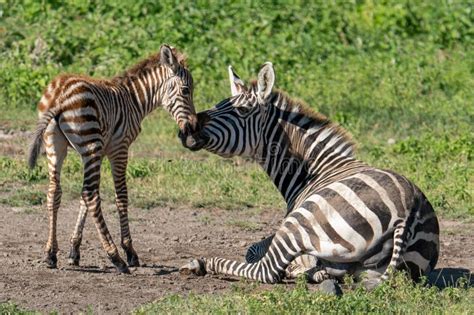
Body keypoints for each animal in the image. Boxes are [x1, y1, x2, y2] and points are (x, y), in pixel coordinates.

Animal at [26, 44, 197, 274]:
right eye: (186, 91)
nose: (193, 130)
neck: (133, 99)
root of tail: (60, 93)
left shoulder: (99, 152)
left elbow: (82, 200)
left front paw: (74, 250)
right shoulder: (119, 148)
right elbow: (120, 196)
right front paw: (130, 251)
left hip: (57, 145)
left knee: (55, 192)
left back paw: (50, 254)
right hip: (90, 142)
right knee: (91, 195)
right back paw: (116, 257)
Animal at [179, 62, 440, 288]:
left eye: (241, 110)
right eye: (219, 104)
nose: (186, 130)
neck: (312, 170)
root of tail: (407, 215)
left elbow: (252, 250)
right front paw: (307, 270)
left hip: (303, 219)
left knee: (266, 271)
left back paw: (201, 263)